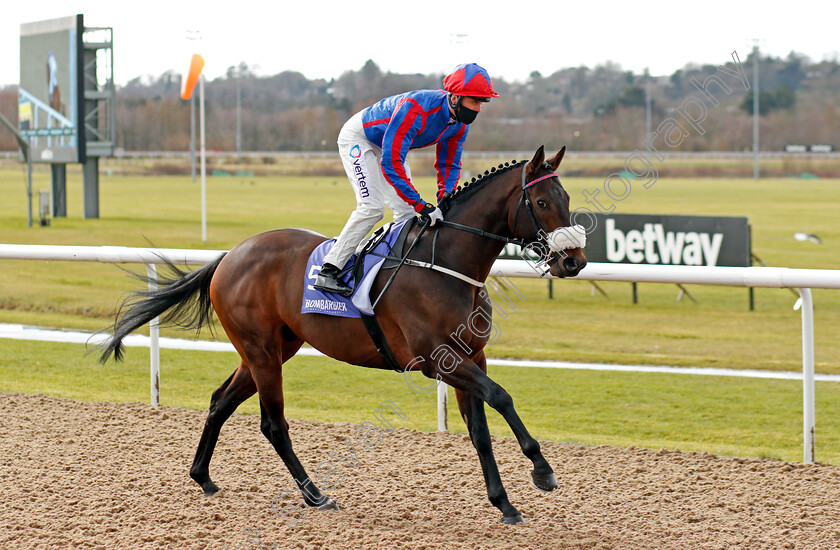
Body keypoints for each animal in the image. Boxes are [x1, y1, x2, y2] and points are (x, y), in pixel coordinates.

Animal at [100, 146, 584, 528]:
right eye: (542, 201)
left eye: (567, 198)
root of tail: (229, 255)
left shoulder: (470, 358)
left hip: (272, 348)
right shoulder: (438, 359)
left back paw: (203, 476)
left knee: (221, 400)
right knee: (273, 424)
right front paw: (542, 469)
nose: (574, 261)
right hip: (262, 352)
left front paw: (505, 504)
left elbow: (480, 430)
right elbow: (502, 397)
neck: (445, 264)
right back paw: (315, 495)